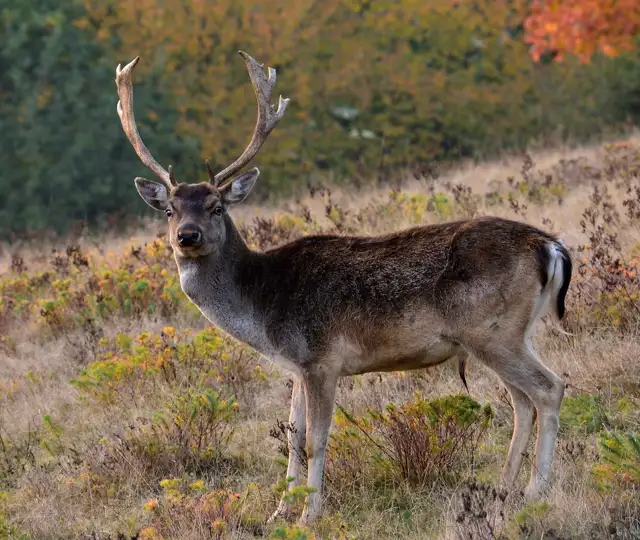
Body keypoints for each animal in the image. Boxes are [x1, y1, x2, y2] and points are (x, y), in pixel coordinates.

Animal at [115, 51, 572, 524]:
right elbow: (292, 438)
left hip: (492, 331)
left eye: (216, 207)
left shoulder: (322, 358)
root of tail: (550, 246)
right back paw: (503, 489)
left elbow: (316, 440)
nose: (186, 236)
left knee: (549, 388)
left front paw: (308, 514)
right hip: (509, 334)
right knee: (522, 401)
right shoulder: (297, 365)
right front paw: (279, 512)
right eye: (169, 210)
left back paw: (536, 489)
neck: (262, 308)